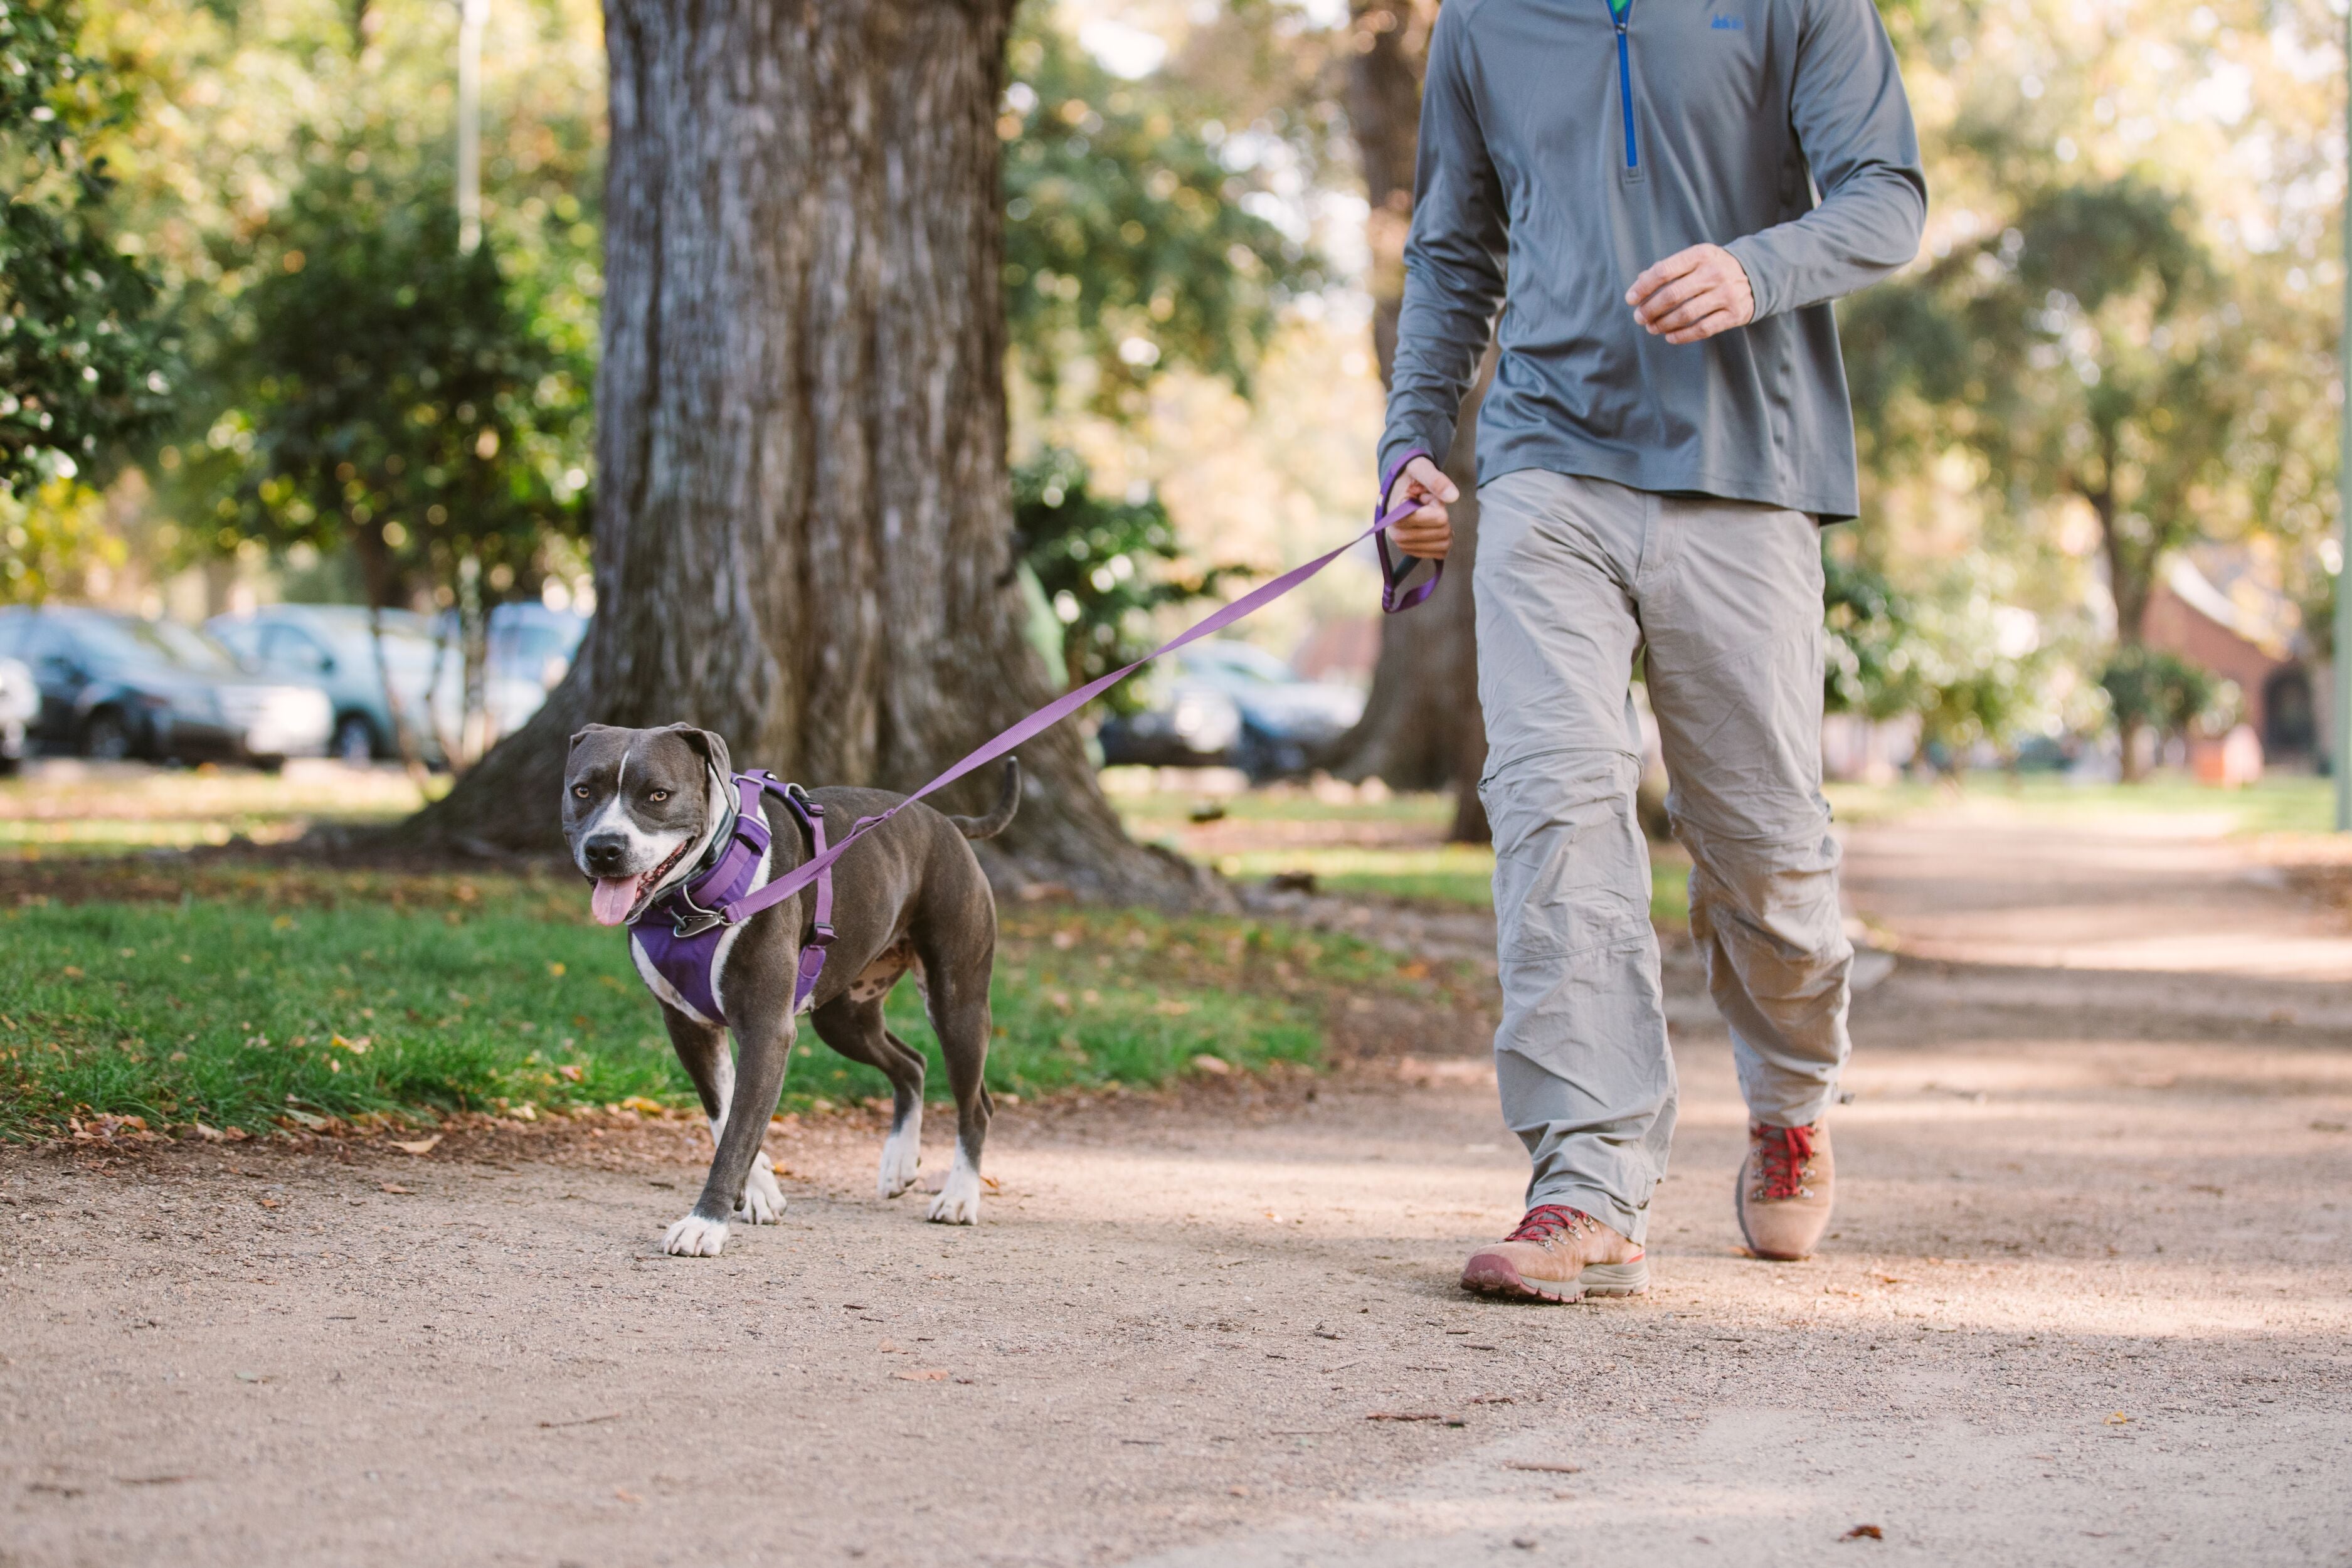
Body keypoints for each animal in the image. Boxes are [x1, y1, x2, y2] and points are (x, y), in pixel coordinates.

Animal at [566, 728, 1020, 1259]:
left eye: (658, 795)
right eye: (582, 791)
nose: (604, 848)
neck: (691, 900)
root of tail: (948, 822)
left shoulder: (766, 1031)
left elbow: (738, 1131)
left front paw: (706, 1223)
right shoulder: (688, 1027)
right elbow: (725, 1114)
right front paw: (760, 1189)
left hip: (957, 1003)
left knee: (975, 1104)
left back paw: (958, 1197)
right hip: (844, 1017)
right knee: (911, 1064)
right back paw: (899, 1164)